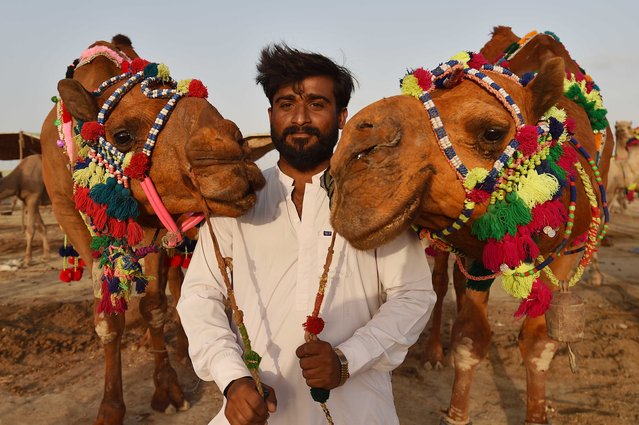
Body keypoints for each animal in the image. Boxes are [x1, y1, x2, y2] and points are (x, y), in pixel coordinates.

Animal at [40, 35, 266, 424]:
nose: (232, 156)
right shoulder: (67, 210)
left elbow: (155, 305)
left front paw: (167, 388)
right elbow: (109, 317)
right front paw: (110, 408)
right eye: (122, 135)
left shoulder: (157, 224)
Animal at [328, 27, 612, 424]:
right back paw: (433, 354)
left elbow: (538, 342)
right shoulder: (477, 247)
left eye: (492, 131)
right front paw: (456, 411)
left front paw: (537, 412)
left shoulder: (569, 246)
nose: (353, 149)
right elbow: (469, 337)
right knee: (440, 284)